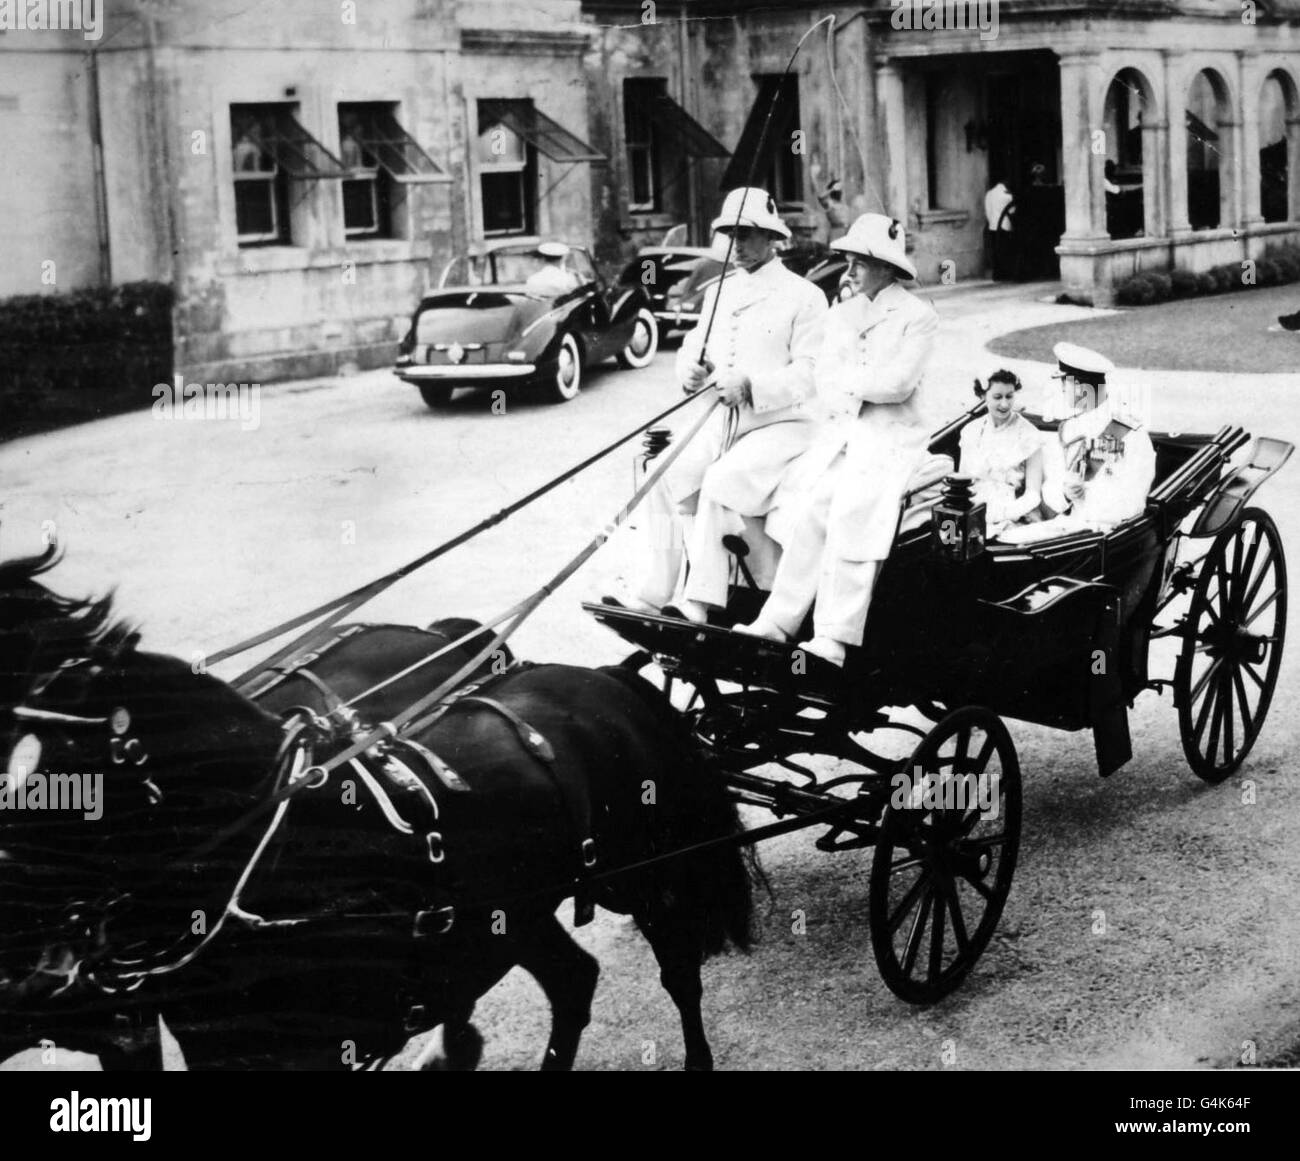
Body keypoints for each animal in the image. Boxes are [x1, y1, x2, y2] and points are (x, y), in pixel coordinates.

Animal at [0, 548, 759, 1071]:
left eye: (41, 775)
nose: (32, 970)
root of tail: (606, 680)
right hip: (514, 912)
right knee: (572, 980)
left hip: (649, 875)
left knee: (677, 970)